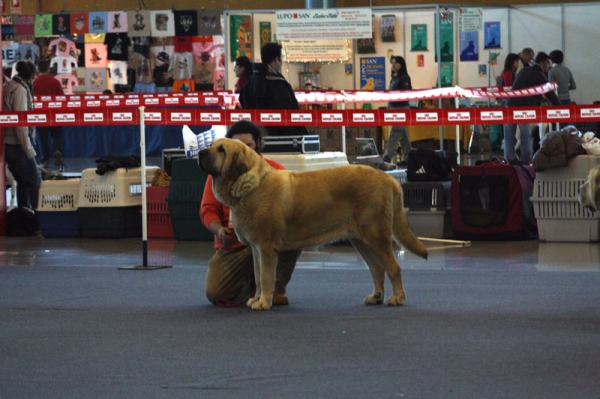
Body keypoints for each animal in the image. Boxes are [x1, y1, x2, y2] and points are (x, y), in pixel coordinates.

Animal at [199, 139, 428, 310]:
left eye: (221, 150)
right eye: (211, 144)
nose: (200, 153)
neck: (249, 184)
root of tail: (389, 180)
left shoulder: (266, 248)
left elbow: (265, 277)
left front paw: (263, 302)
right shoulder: (256, 249)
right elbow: (257, 274)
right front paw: (256, 299)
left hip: (376, 236)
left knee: (393, 267)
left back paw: (398, 297)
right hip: (361, 240)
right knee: (377, 268)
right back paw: (376, 296)